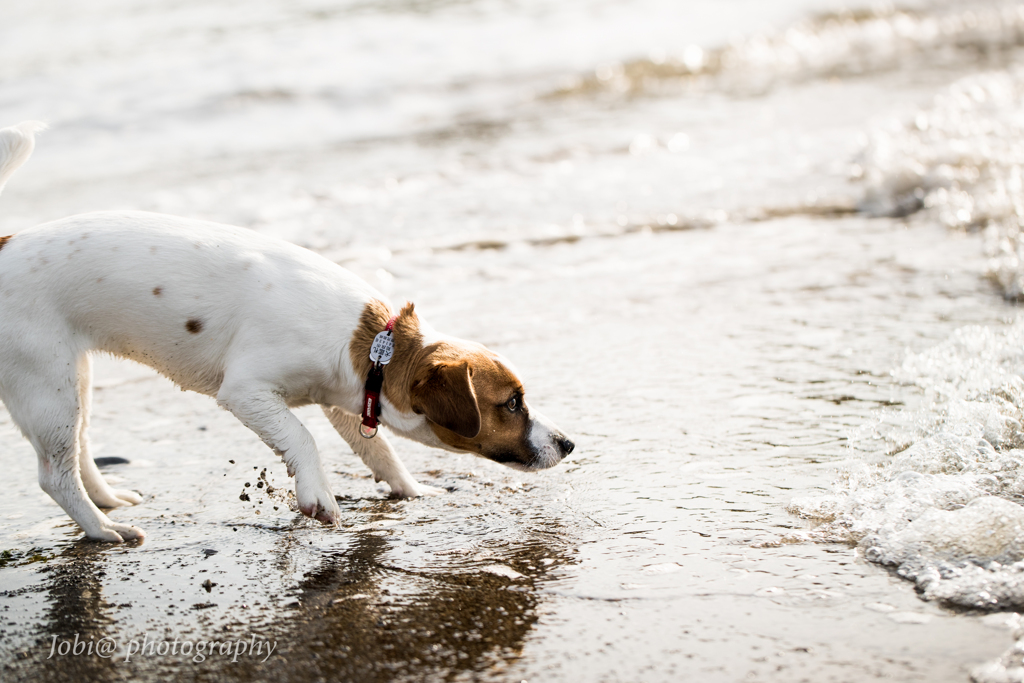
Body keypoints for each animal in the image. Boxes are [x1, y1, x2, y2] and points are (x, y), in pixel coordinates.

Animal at [0, 120, 573, 540]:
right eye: (512, 404)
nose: (568, 444)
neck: (374, 346)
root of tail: (5, 243)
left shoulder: (347, 401)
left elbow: (379, 451)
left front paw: (411, 490)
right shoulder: (247, 391)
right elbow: (302, 437)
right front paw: (318, 497)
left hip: (73, 381)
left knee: (78, 448)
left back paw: (106, 500)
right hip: (47, 387)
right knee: (54, 474)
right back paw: (103, 529)